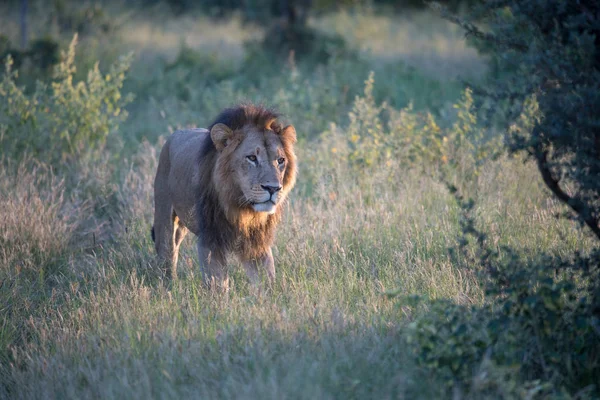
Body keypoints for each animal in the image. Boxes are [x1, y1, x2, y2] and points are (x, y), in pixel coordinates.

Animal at [152, 104, 298, 290]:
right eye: (252, 158)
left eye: (280, 160)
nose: (273, 188)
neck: (240, 206)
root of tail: (175, 134)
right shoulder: (211, 239)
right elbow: (218, 284)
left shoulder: (257, 241)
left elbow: (266, 279)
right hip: (164, 217)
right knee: (167, 255)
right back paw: (169, 287)